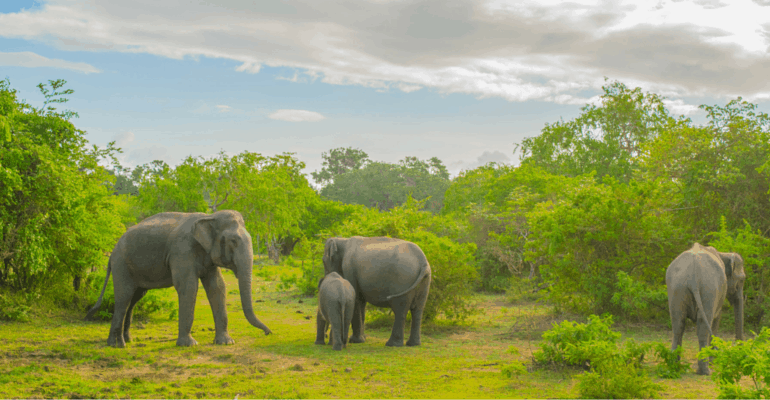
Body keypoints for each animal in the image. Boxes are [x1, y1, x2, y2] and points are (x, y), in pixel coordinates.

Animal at [85, 209, 272, 346]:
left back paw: (128, 340)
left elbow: (217, 287)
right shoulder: (182, 250)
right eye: (233, 241)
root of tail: (111, 252)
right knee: (124, 297)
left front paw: (226, 343)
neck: (209, 217)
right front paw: (189, 345)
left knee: (134, 298)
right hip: (121, 264)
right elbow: (188, 286)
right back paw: (116, 345)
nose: (268, 332)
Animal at [664, 242, 740, 376]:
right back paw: (705, 371)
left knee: (678, 325)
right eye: (742, 279)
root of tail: (693, 277)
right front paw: (713, 361)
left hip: (676, 288)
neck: (722, 253)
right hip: (709, 289)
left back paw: (673, 368)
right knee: (703, 328)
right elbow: (716, 320)